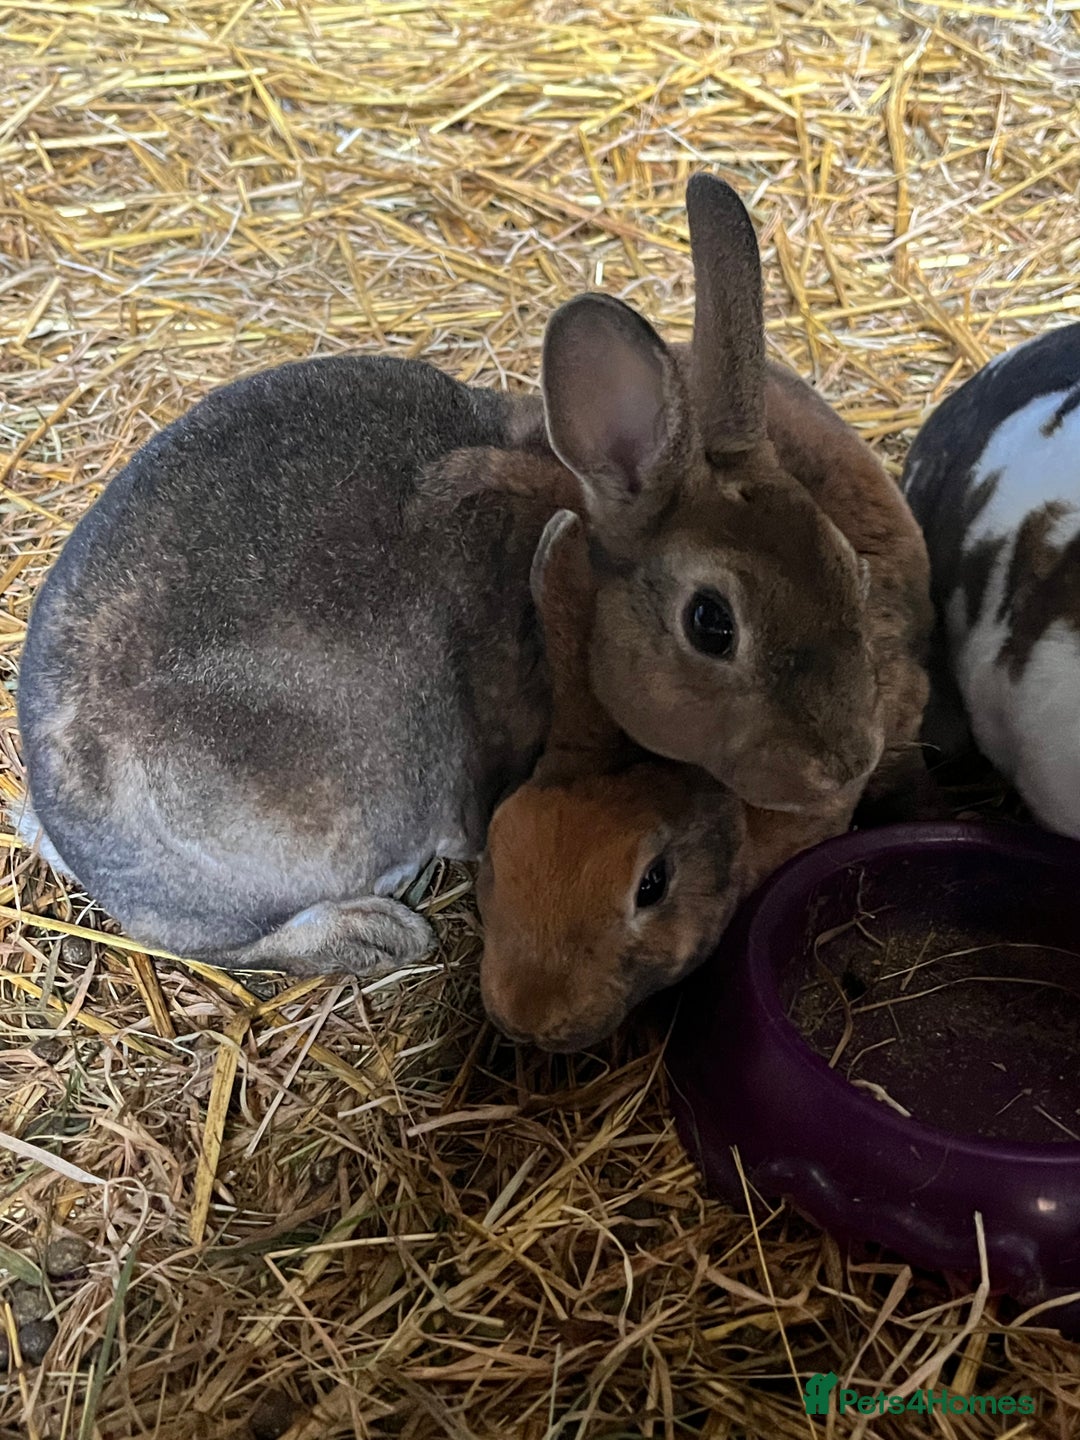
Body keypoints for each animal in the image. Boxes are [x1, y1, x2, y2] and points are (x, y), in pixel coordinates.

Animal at [15, 172, 924, 977]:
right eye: (712, 623)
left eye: (848, 565)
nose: (848, 761)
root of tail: (68, 828)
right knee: (224, 942)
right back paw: (378, 936)